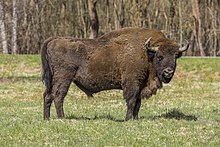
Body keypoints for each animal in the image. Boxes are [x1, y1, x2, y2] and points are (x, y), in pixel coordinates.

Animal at [41, 27, 189, 120]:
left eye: (176, 56)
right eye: (159, 56)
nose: (169, 71)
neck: (147, 53)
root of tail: (54, 40)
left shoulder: (140, 85)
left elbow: (138, 103)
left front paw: (135, 119)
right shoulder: (132, 83)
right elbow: (131, 101)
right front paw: (127, 119)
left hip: (53, 79)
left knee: (47, 95)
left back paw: (47, 118)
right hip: (64, 78)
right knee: (58, 96)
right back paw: (62, 117)